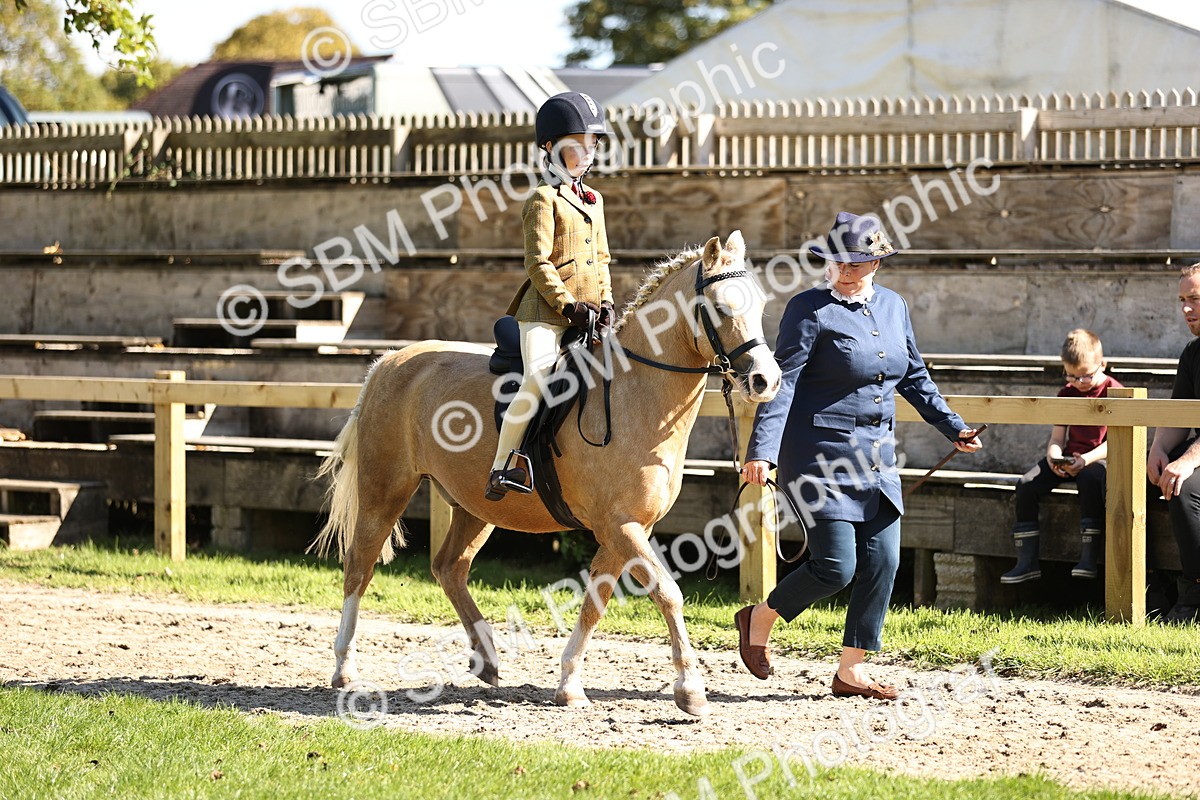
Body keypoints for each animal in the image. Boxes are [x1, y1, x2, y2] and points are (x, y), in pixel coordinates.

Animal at [311, 230, 782, 716]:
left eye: (761, 304)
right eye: (722, 307)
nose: (766, 381)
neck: (633, 393)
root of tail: (389, 361)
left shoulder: (625, 529)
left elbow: (596, 601)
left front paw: (570, 684)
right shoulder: (621, 526)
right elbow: (667, 592)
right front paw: (690, 688)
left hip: (475, 506)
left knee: (449, 567)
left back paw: (488, 660)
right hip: (385, 490)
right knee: (359, 567)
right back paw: (345, 670)